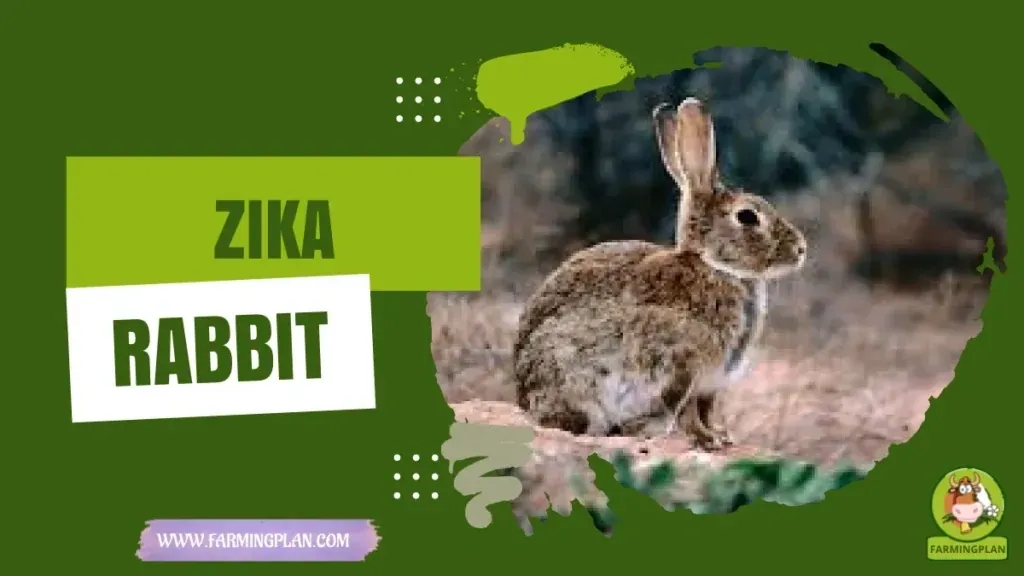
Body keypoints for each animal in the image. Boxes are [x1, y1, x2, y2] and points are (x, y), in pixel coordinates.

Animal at [512, 97, 807, 450]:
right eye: (747, 216)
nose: (801, 249)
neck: (713, 265)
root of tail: (526, 403)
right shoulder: (683, 366)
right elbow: (686, 411)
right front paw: (705, 440)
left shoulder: (710, 384)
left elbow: (706, 409)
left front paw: (721, 438)